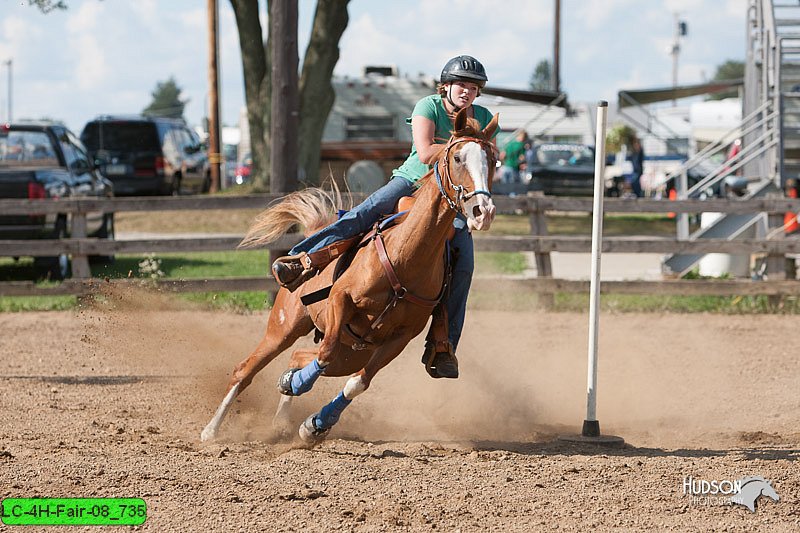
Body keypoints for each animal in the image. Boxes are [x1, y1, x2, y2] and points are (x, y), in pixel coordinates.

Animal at [200, 109, 496, 444]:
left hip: (353, 352)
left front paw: (315, 424)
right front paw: (298, 386)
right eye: (457, 157)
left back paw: (282, 416)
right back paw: (211, 430)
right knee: (247, 369)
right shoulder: (341, 300)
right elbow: (324, 353)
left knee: (300, 356)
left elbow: (358, 383)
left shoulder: (400, 337)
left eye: (493, 160)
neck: (406, 257)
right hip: (283, 328)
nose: (483, 211)